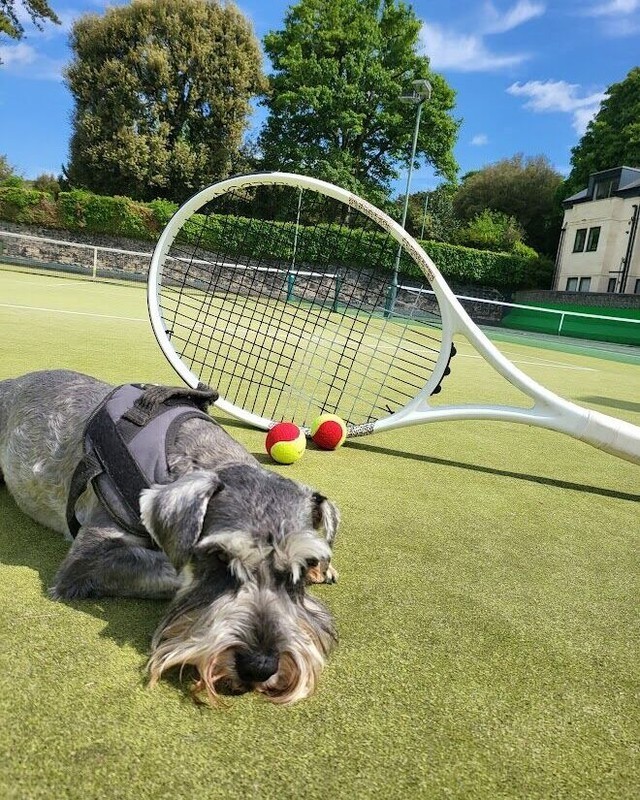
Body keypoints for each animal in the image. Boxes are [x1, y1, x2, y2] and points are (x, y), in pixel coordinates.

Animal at [0, 370, 340, 708]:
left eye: (301, 567)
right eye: (219, 558)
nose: (259, 666)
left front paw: (323, 569)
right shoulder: (88, 559)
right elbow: (172, 572)